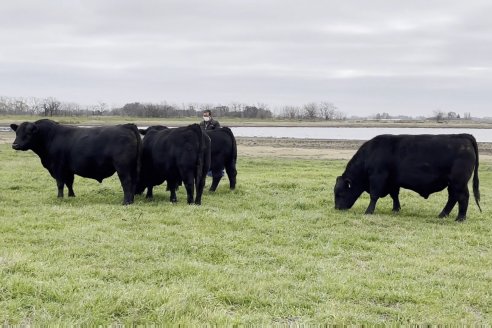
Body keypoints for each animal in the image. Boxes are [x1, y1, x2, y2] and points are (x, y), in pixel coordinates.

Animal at [10, 119, 141, 204]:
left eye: (28, 133)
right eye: (17, 132)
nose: (15, 145)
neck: (50, 137)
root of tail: (126, 126)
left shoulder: (57, 167)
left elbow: (60, 183)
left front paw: (60, 198)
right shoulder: (68, 169)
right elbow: (69, 183)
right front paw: (71, 196)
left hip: (122, 167)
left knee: (127, 182)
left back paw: (126, 202)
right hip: (133, 168)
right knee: (134, 182)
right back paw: (131, 200)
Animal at [334, 135, 480, 222]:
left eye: (340, 193)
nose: (337, 208)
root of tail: (463, 136)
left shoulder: (377, 177)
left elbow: (374, 196)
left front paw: (368, 211)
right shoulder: (392, 181)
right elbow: (394, 195)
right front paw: (396, 209)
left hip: (459, 182)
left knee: (463, 197)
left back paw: (460, 218)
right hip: (452, 183)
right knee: (453, 197)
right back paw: (442, 214)